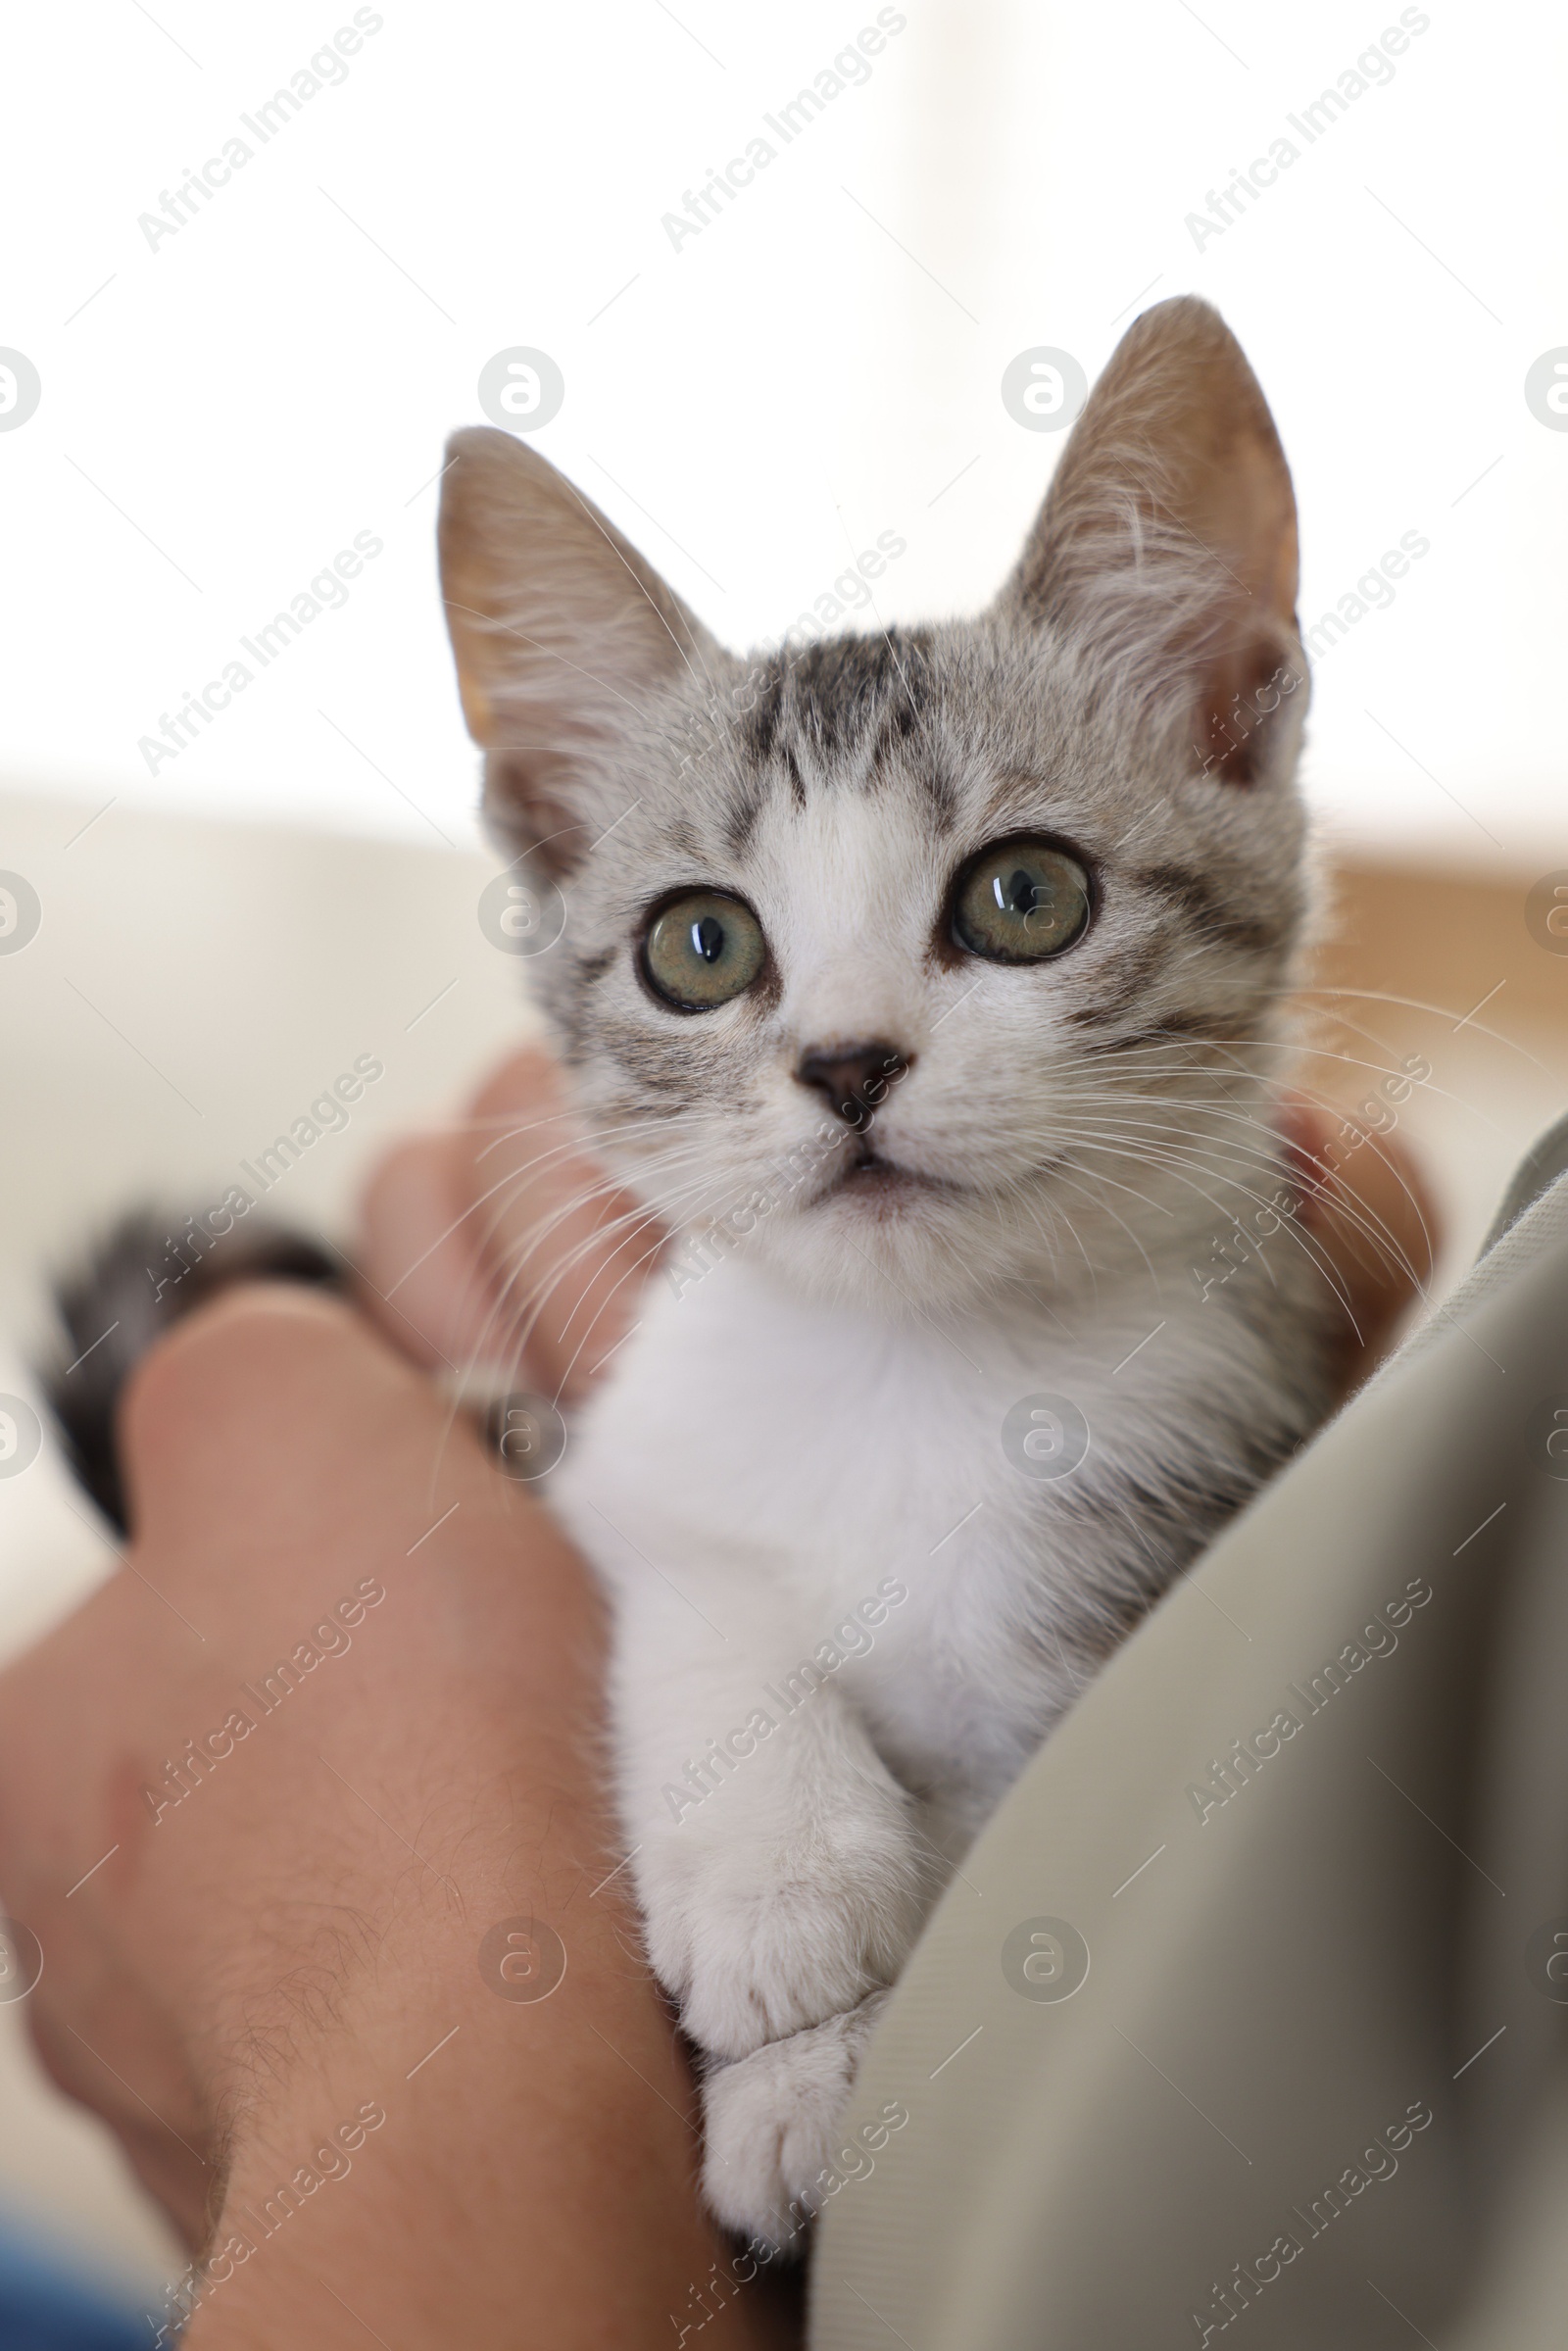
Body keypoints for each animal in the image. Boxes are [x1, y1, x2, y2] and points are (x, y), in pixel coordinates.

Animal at [434, 293, 1345, 2237]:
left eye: (1026, 895)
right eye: (701, 945)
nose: (849, 1064)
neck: (918, 1369)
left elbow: (1004, 1857)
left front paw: (822, 2072)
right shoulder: (643, 1465)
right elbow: (699, 1595)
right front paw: (780, 1895)